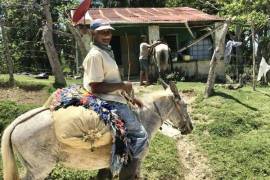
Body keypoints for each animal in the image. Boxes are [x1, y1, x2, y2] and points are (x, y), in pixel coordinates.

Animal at [1, 81, 192, 180]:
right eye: (184, 105)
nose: (190, 128)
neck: (142, 117)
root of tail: (17, 123)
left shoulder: (108, 165)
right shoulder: (135, 163)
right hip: (40, 170)